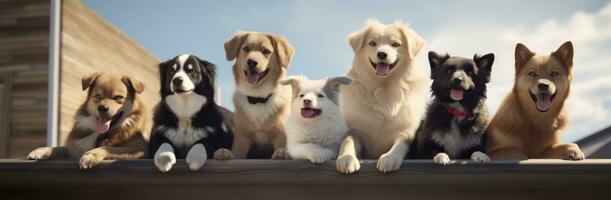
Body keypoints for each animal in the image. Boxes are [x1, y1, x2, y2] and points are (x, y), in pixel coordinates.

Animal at [225, 31, 296, 159]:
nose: (251, 62)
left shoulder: (281, 135)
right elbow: (236, 154)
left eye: (266, 51)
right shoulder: (241, 139)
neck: (258, 97)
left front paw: (282, 152)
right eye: (246, 49)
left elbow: (282, 147)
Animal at [338, 19, 428, 174]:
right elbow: (348, 140)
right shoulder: (356, 131)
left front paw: (389, 157)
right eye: (372, 43)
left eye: (396, 44)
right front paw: (346, 158)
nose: (381, 54)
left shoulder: (405, 132)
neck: (384, 87)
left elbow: (400, 144)